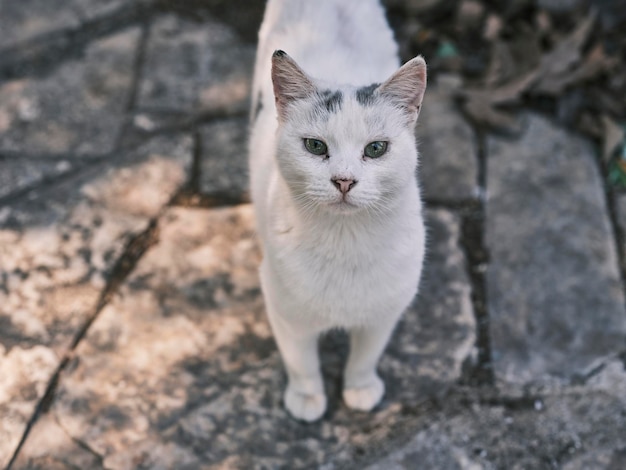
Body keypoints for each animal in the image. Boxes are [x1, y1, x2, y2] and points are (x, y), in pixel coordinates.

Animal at [247, 0, 424, 422]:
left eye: (376, 149)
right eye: (315, 146)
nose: (344, 180)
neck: (347, 242)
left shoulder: (384, 314)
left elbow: (365, 356)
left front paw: (359, 390)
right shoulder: (284, 309)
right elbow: (302, 362)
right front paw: (307, 399)